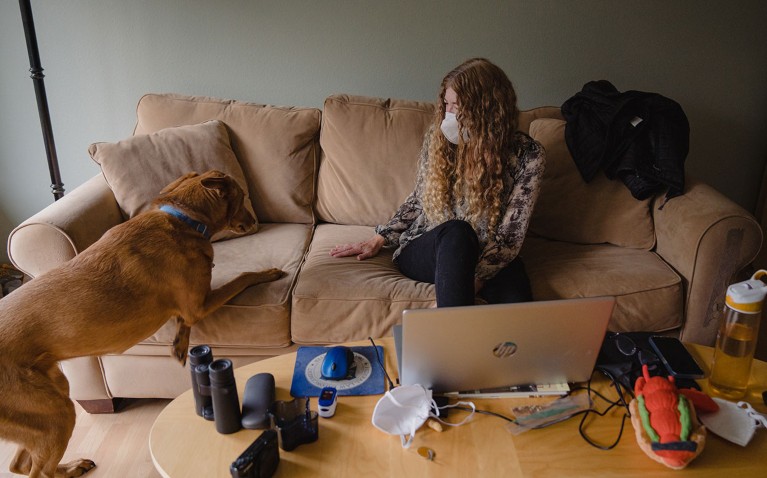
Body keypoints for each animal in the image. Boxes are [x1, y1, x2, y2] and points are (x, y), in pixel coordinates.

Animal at [0, 170, 284, 476]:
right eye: (243, 196)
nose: (255, 222)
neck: (184, 218)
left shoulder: (191, 306)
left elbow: (183, 323)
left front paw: (179, 346)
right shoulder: (199, 305)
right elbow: (243, 276)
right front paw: (268, 272)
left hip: (51, 397)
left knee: (20, 463)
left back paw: (73, 466)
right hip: (55, 412)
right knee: (37, 470)